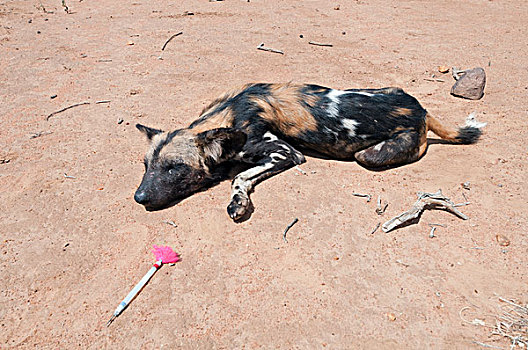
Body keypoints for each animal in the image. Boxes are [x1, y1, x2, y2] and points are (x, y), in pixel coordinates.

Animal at [134, 83, 484, 220]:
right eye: (147, 165)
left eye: (174, 168)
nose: (139, 197)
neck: (231, 115)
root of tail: (420, 109)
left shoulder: (284, 154)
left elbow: (239, 178)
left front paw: (238, 203)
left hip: (366, 156)